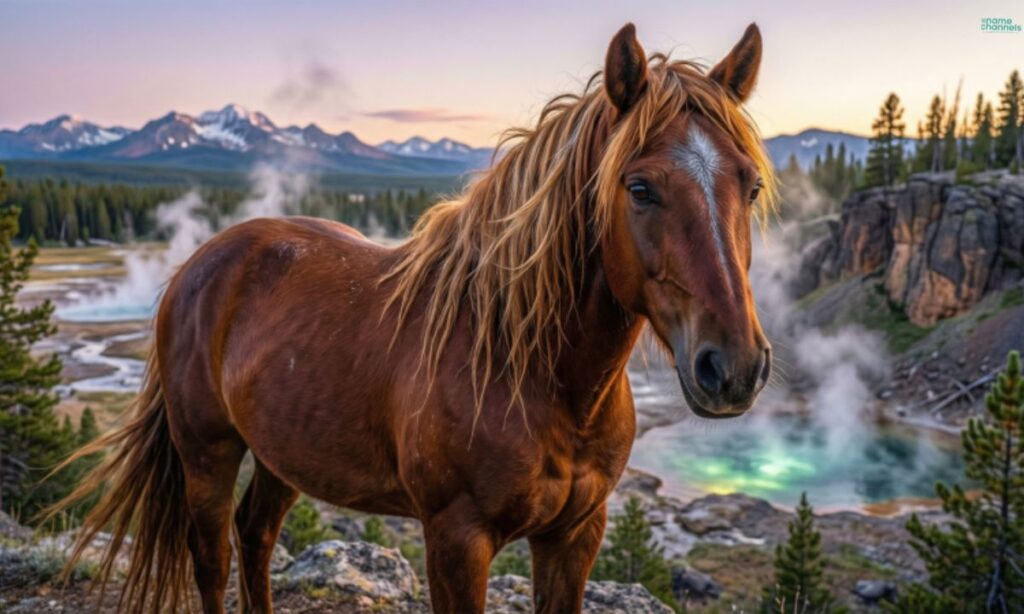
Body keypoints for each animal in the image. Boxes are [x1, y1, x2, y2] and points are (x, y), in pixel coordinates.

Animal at [54, 22, 776, 614]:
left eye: (752, 186)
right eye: (640, 188)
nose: (734, 367)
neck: (531, 370)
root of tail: (196, 264)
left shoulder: (576, 534)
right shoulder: (457, 539)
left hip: (284, 455)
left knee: (254, 536)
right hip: (207, 453)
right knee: (213, 560)